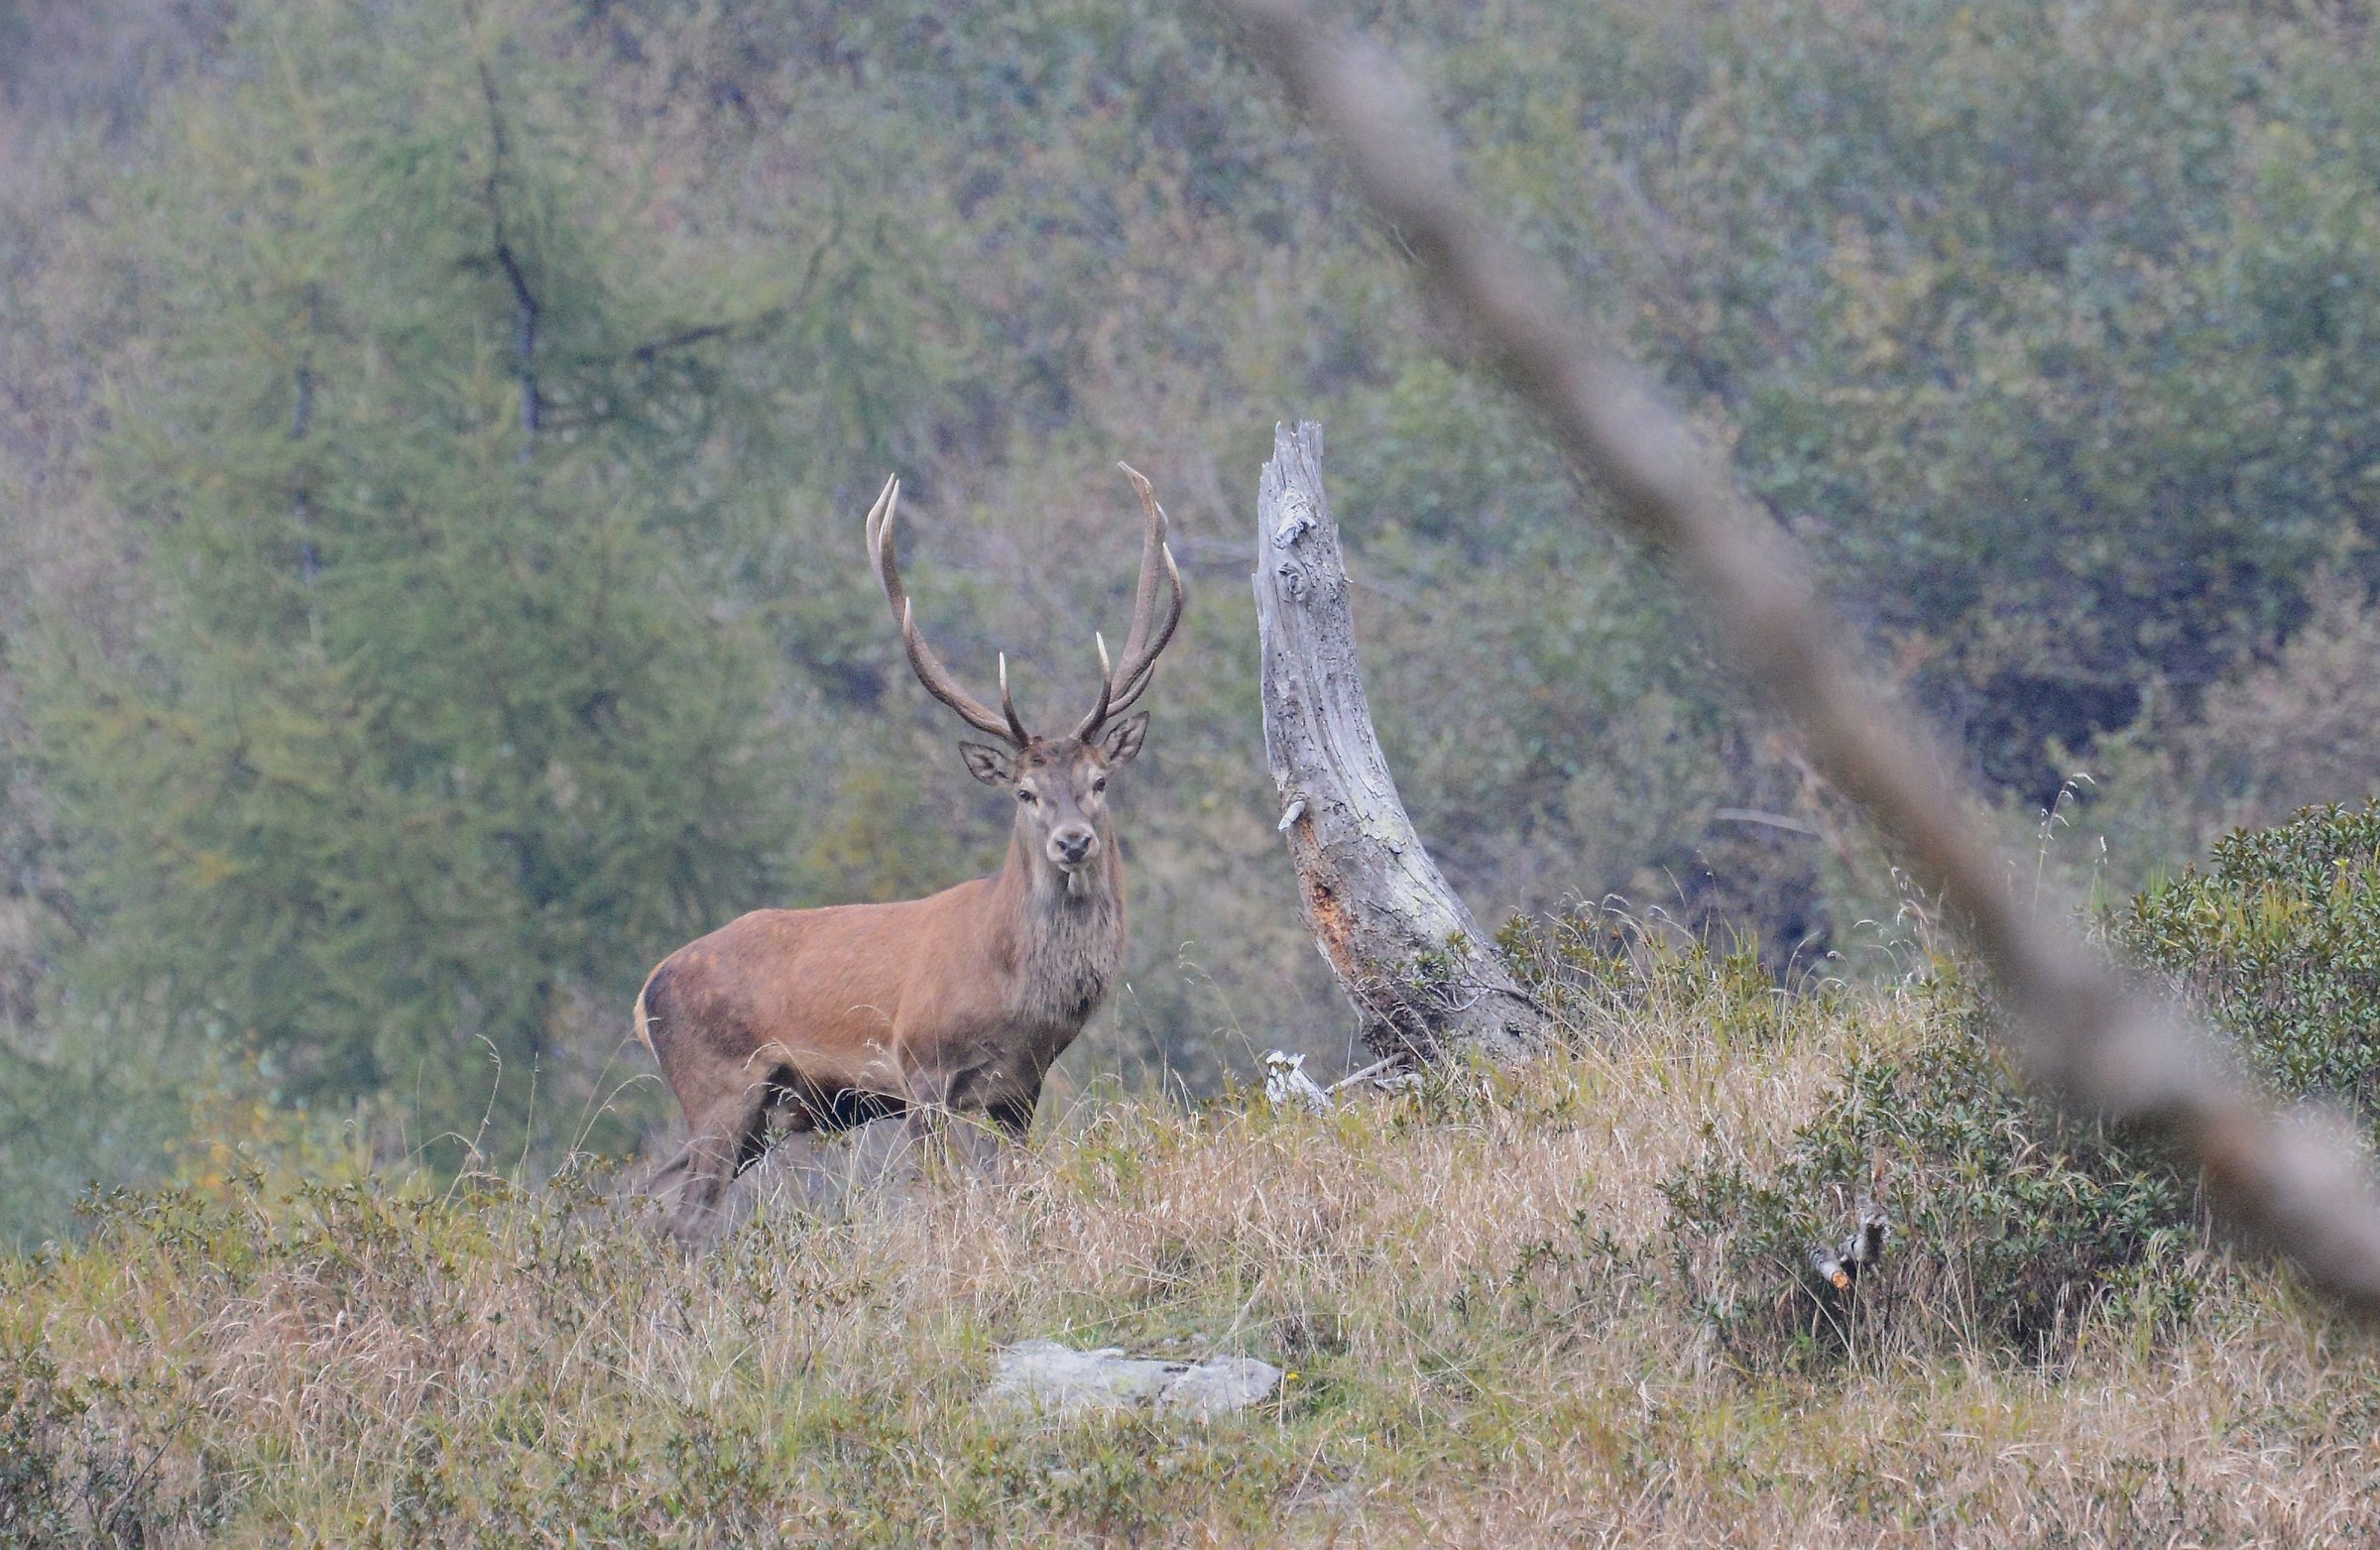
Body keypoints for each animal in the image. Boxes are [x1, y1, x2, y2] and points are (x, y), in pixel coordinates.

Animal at [635, 464, 1184, 1241]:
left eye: (1099, 781)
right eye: (1024, 791)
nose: (1073, 840)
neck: (1007, 980)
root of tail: (646, 991)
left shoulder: (1021, 1090)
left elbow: (1012, 1185)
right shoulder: (919, 1069)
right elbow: (940, 1194)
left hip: (749, 1117)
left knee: (646, 1198)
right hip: (718, 1087)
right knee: (683, 1222)